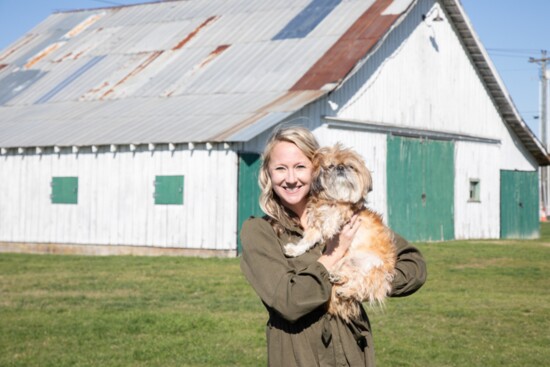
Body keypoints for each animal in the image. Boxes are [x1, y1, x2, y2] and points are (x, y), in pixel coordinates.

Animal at [284, 145, 396, 324]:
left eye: (350, 166)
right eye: (331, 166)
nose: (341, 168)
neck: (333, 199)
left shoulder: (347, 211)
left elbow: (336, 212)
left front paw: (331, 225)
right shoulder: (316, 228)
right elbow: (306, 240)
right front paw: (294, 250)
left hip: (374, 268)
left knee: (363, 284)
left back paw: (347, 290)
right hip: (346, 262)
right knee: (351, 276)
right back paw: (338, 278)